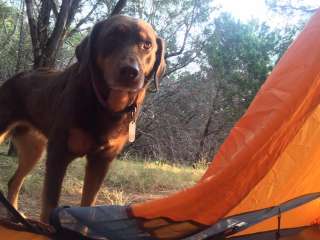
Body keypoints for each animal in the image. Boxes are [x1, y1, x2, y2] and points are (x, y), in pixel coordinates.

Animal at [0, 14, 166, 221]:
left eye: (147, 44)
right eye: (112, 36)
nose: (130, 71)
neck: (106, 107)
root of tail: (14, 78)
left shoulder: (101, 161)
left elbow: (89, 206)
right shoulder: (58, 154)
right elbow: (48, 207)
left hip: (34, 149)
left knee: (14, 181)